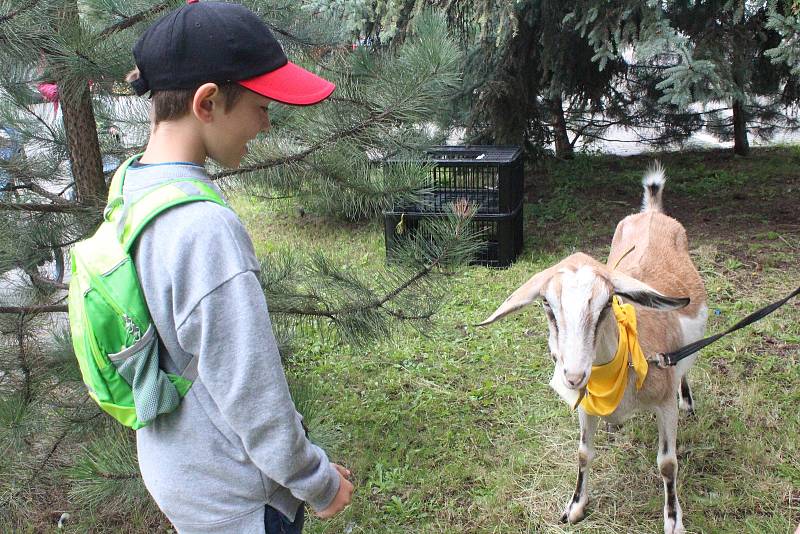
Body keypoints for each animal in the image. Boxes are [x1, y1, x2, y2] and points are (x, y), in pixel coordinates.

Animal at [476, 164, 708, 534]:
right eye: (547, 305)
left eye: (607, 304)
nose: (572, 376)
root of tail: (653, 212)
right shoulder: (585, 407)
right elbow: (584, 453)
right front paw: (574, 507)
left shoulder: (663, 402)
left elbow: (668, 463)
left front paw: (673, 520)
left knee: (685, 367)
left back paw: (687, 399)